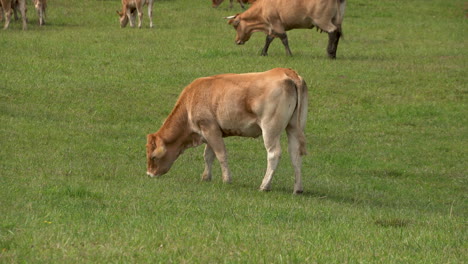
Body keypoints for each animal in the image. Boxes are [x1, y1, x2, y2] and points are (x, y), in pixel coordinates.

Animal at [145, 67, 308, 194]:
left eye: (153, 157)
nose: (149, 174)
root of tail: (286, 72)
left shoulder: (210, 128)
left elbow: (220, 154)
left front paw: (226, 179)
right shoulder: (209, 131)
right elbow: (208, 155)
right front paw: (206, 177)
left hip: (270, 128)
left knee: (274, 154)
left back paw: (264, 186)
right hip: (294, 126)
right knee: (295, 153)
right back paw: (298, 188)